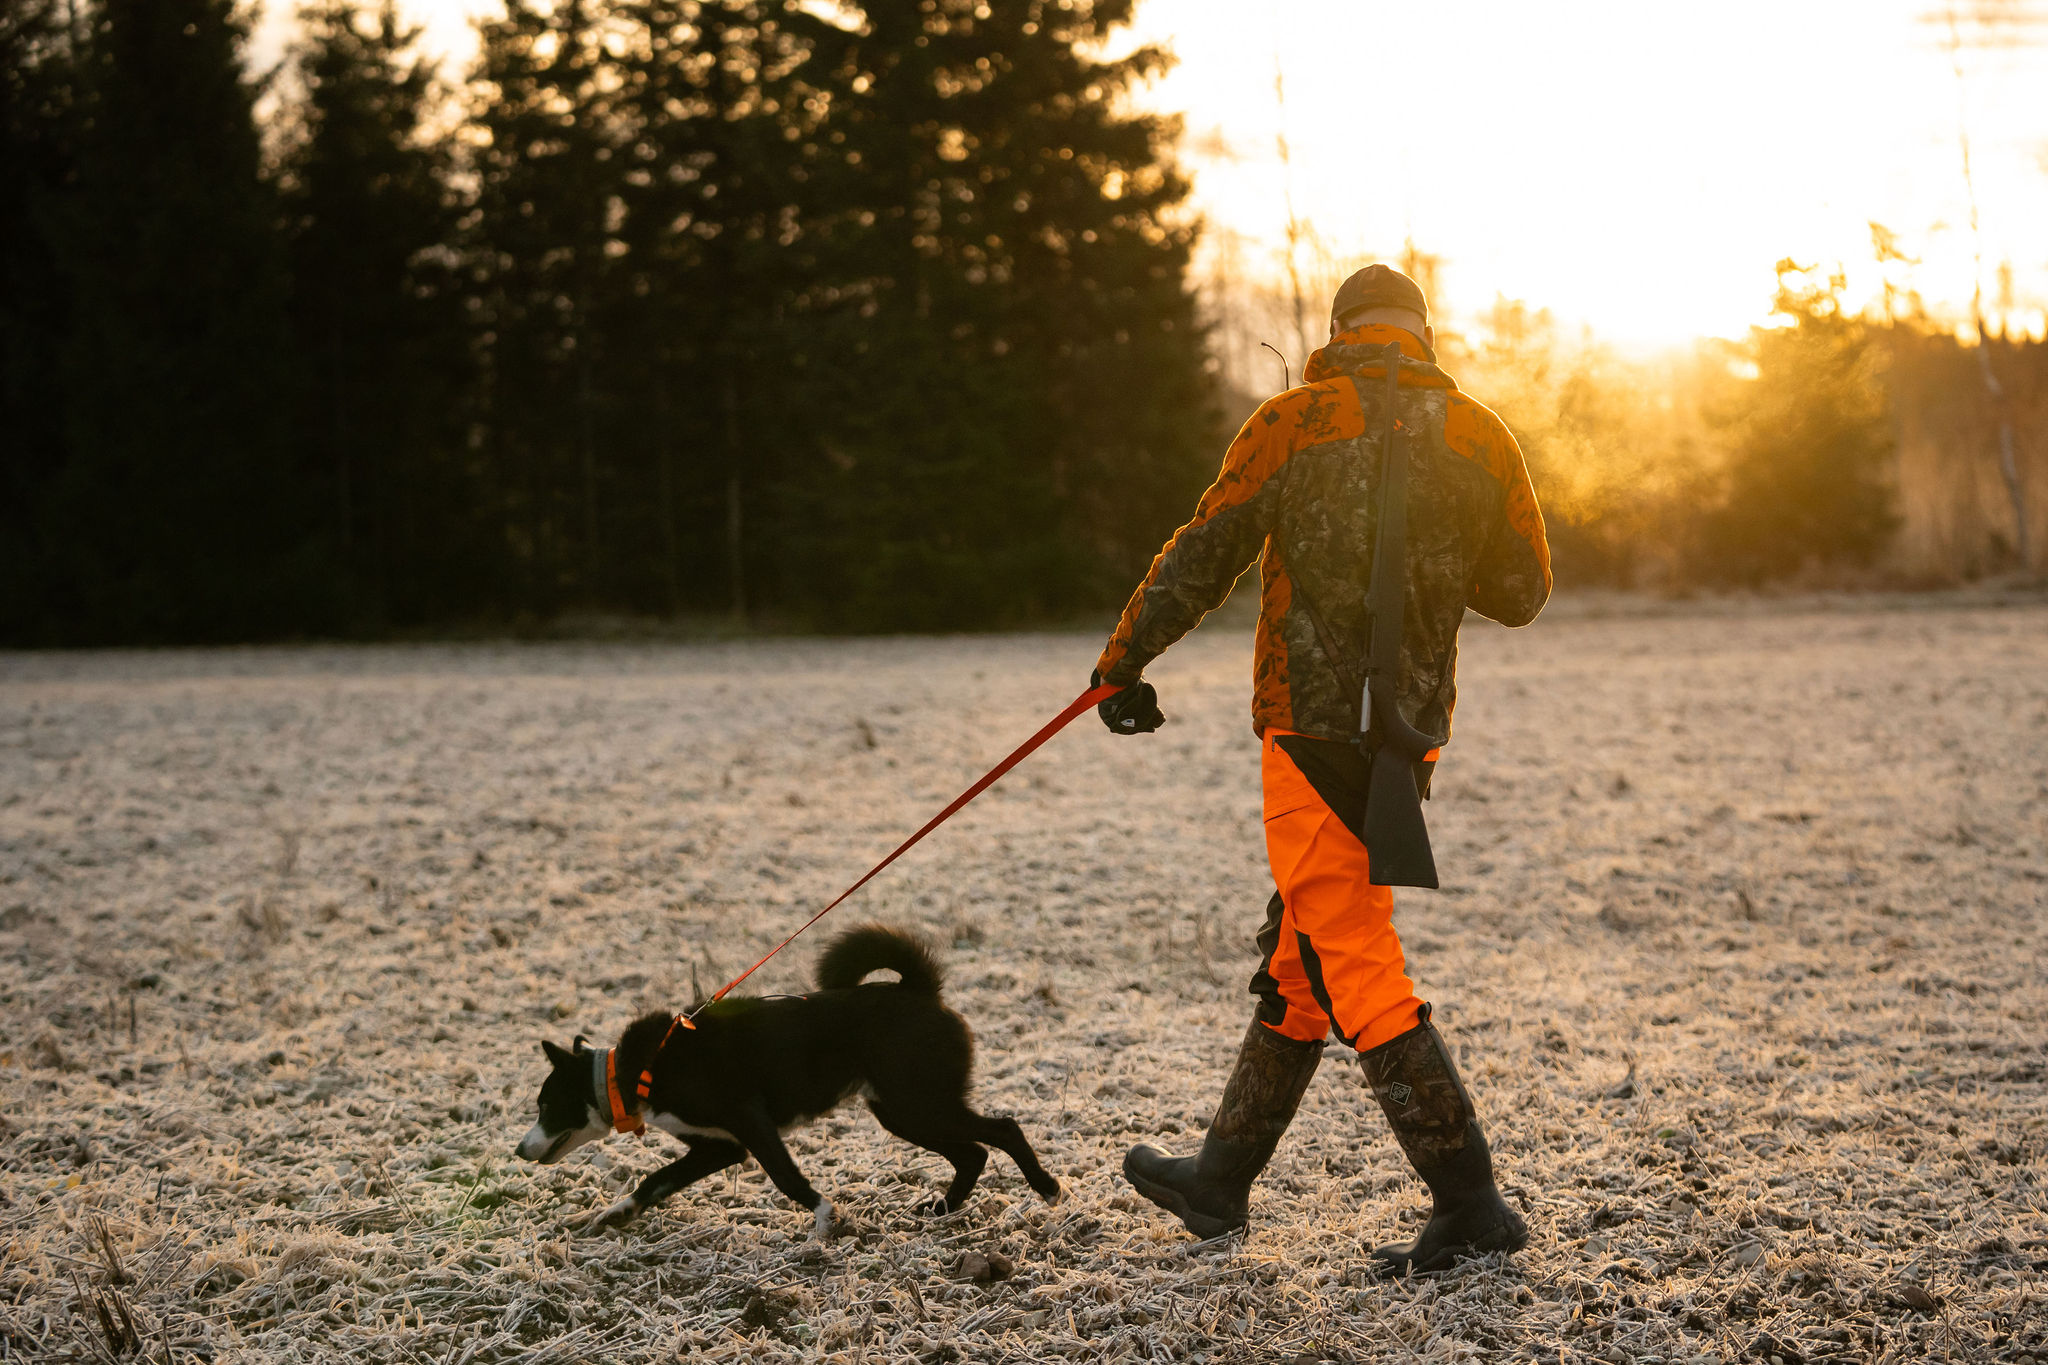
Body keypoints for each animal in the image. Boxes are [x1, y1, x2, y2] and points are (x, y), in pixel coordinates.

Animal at [514, 923, 1061, 1236]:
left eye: (545, 1105)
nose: (519, 1150)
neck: (633, 1069)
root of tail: (920, 991)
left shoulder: (751, 1123)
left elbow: (787, 1177)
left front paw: (824, 1219)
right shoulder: (720, 1146)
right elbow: (656, 1180)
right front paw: (617, 1214)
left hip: (918, 1102)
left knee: (1003, 1129)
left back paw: (1047, 1186)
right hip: (900, 1111)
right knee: (973, 1153)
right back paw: (943, 1209)